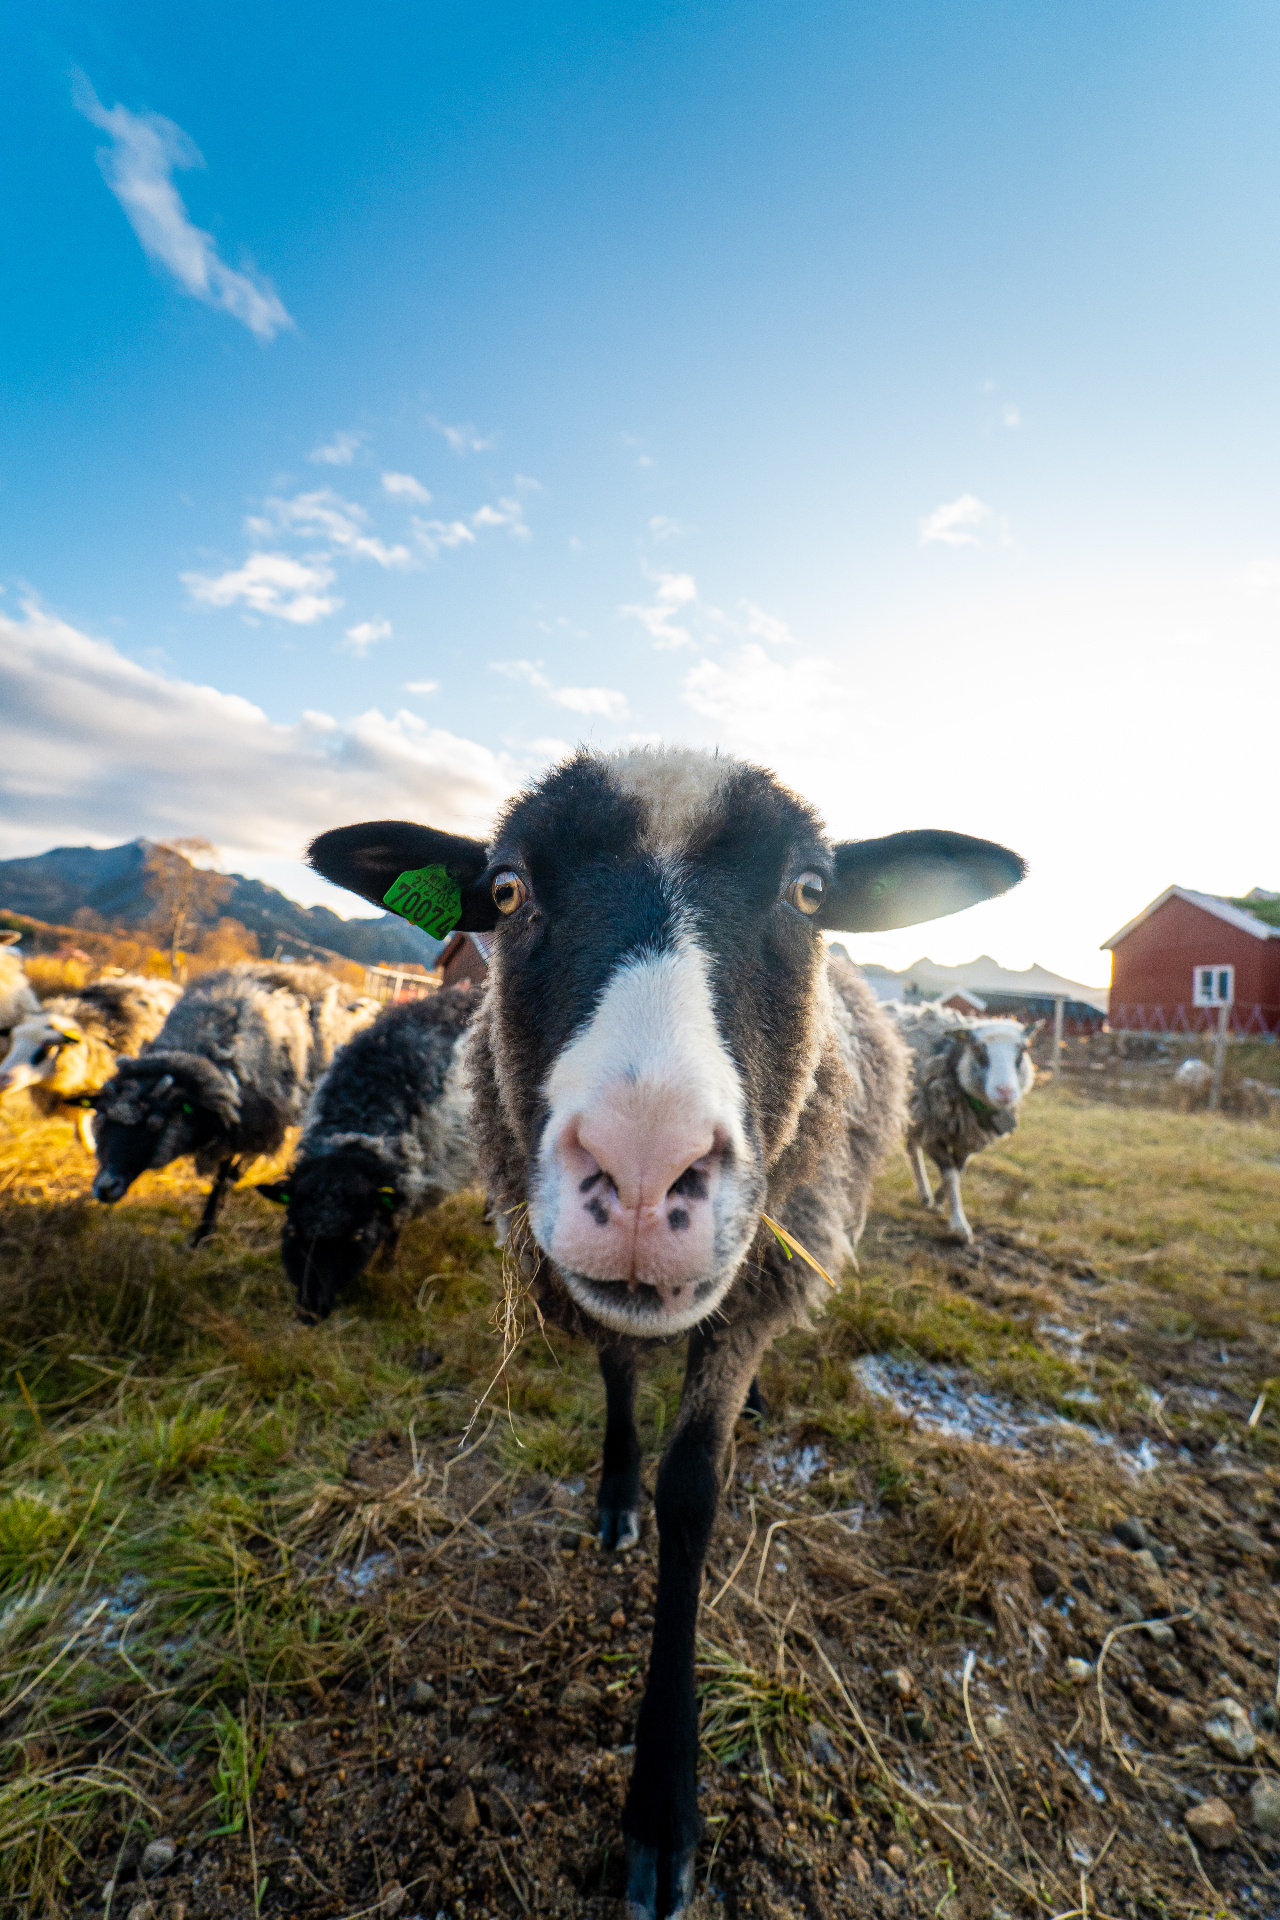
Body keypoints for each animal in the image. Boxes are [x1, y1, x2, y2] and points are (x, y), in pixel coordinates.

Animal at [91, 962, 379, 1244]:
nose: (104, 1187)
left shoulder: (252, 1126)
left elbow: (222, 1177)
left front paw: (204, 1233)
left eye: (155, 1123)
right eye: (102, 1119)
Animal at [256, 987, 478, 1319]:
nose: (310, 1311)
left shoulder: (410, 1180)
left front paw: (387, 1268)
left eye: (357, 1235)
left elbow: (394, 1229)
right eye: (292, 1231)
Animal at [888, 1002, 1040, 1242]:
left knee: (912, 1148)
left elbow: (957, 1170)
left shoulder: (968, 1139)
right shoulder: (933, 1131)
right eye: (978, 1049)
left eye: (1023, 1050)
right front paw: (959, 1224)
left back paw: (925, 1195)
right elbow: (950, 1175)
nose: (1005, 1092)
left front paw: (938, 1200)